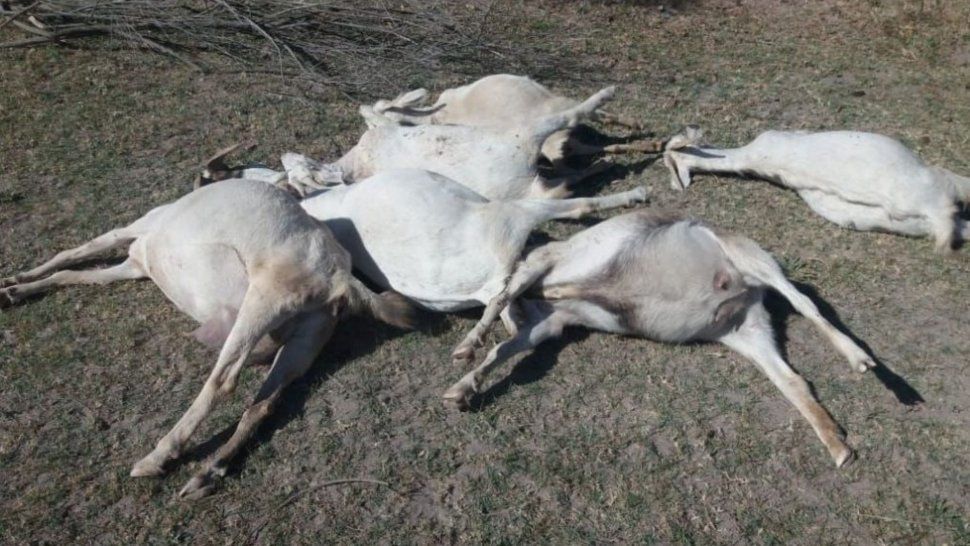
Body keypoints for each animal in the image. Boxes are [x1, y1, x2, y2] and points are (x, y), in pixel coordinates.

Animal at [0, 180, 415, 499]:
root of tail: (341, 280)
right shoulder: (132, 265)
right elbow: (74, 274)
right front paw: (15, 289)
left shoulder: (134, 232)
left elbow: (74, 252)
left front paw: (14, 282)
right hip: (307, 336)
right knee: (264, 402)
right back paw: (206, 474)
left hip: (264, 298)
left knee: (224, 379)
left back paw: (157, 457)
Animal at [442, 210, 876, 467]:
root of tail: (739, 290)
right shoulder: (550, 323)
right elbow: (504, 347)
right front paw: (460, 391)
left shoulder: (541, 265)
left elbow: (498, 301)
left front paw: (465, 348)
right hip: (746, 333)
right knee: (793, 380)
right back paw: (838, 446)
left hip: (752, 260)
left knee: (805, 302)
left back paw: (860, 360)